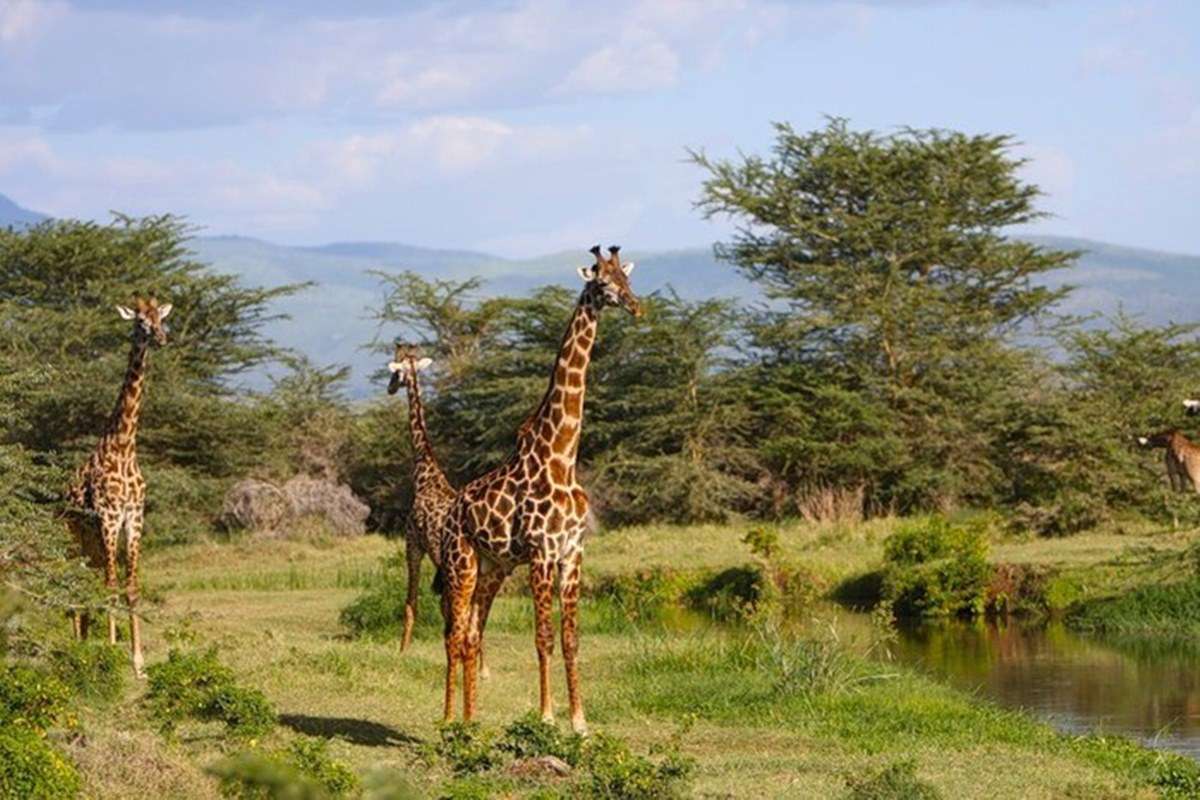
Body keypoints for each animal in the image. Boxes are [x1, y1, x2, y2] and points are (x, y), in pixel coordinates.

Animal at [64, 297, 171, 681]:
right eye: (140, 321)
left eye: (160, 318)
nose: (161, 337)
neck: (124, 446)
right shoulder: (110, 518)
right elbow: (111, 586)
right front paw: (111, 652)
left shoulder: (133, 517)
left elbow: (131, 587)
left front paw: (138, 663)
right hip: (75, 535)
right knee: (77, 578)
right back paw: (78, 644)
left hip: (92, 543)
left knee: (88, 577)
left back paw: (82, 640)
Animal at [441, 245, 643, 738]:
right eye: (602, 283)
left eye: (627, 280)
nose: (636, 307)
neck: (562, 456)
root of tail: (451, 510)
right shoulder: (541, 553)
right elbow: (543, 637)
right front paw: (548, 715)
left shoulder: (572, 553)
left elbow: (570, 638)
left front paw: (580, 721)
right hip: (461, 562)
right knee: (455, 635)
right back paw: (448, 720)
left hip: (493, 567)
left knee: (471, 634)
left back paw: (472, 722)